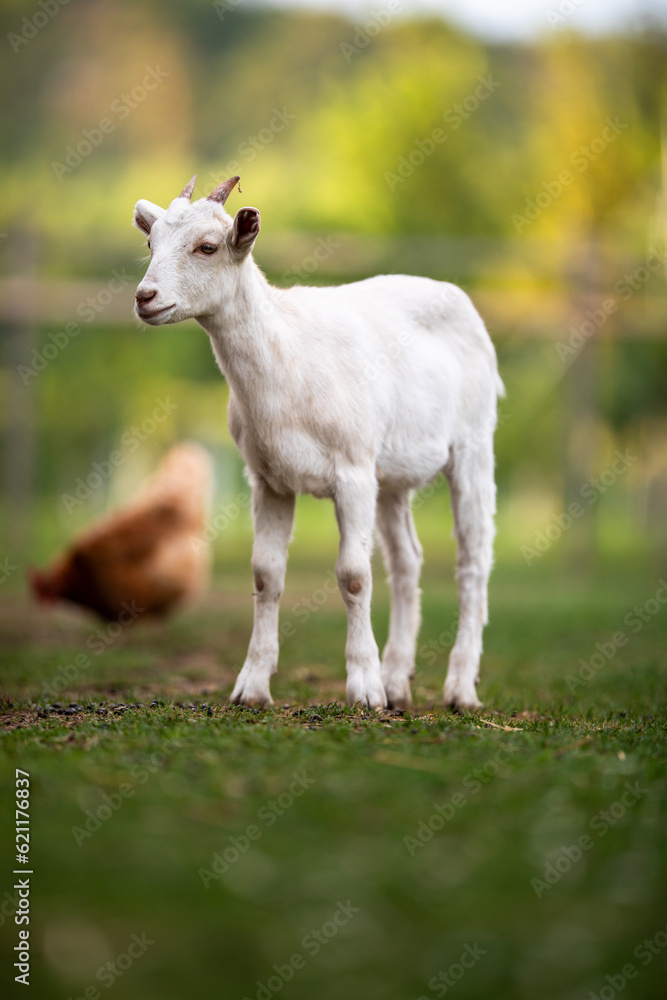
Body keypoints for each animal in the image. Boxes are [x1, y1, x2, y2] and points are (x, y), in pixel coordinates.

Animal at [133, 178, 504, 712]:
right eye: (150, 242)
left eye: (207, 247)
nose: (145, 297)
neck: (289, 358)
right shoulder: (268, 479)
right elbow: (265, 574)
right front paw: (252, 687)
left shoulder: (352, 470)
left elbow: (353, 574)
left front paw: (364, 689)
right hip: (390, 474)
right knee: (407, 560)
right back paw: (398, 681)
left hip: (474, 443)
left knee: (472, 560)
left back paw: (458, 689)